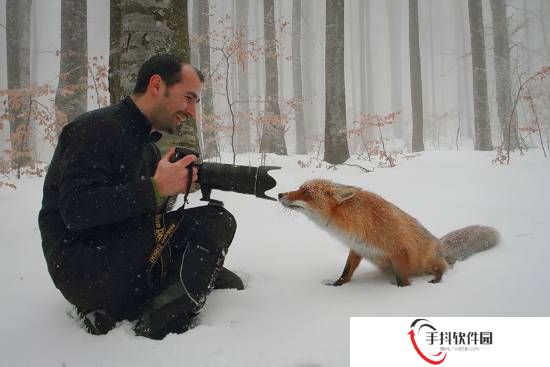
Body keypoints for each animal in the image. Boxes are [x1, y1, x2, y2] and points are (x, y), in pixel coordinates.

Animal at [280, 179, 500, 288]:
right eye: (299, 188)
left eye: (306, 193)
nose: (280, 194)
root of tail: (440, 243)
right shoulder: (357, 248)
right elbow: (345, 272)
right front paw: (336, 286)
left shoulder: (399, 251)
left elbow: (403, 281)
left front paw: (402, 294)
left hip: (428, 261)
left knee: (444, 269)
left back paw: (436, 281)